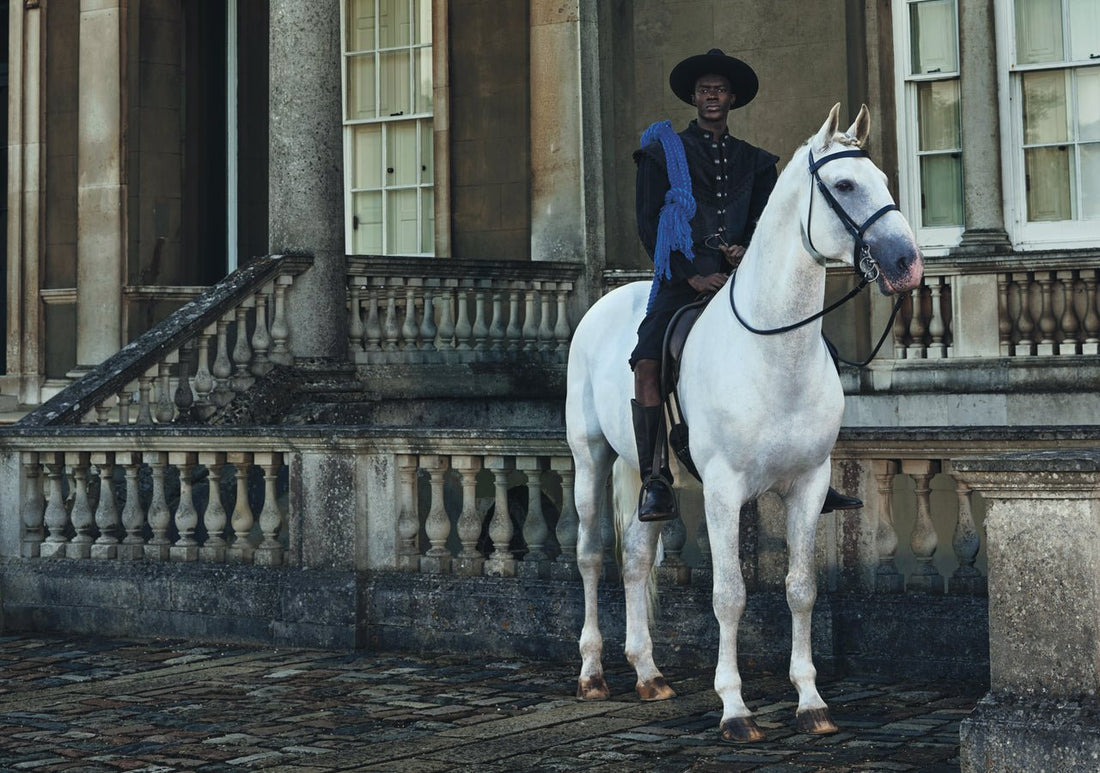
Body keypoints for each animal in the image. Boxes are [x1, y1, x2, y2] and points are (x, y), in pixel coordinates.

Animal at [564, 103, 924, 743]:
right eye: (844, 184)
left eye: (883, 180)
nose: (907, 265)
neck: (776, 351)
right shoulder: (724, 492)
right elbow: (729, 595)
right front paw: (734, 707)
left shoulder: (808, 485)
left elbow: (801, 590)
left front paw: (810, 700)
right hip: (591, 458)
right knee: (590, 554)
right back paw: (592, 672)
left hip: (652, 475)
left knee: (636, 558)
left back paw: (648, 673)